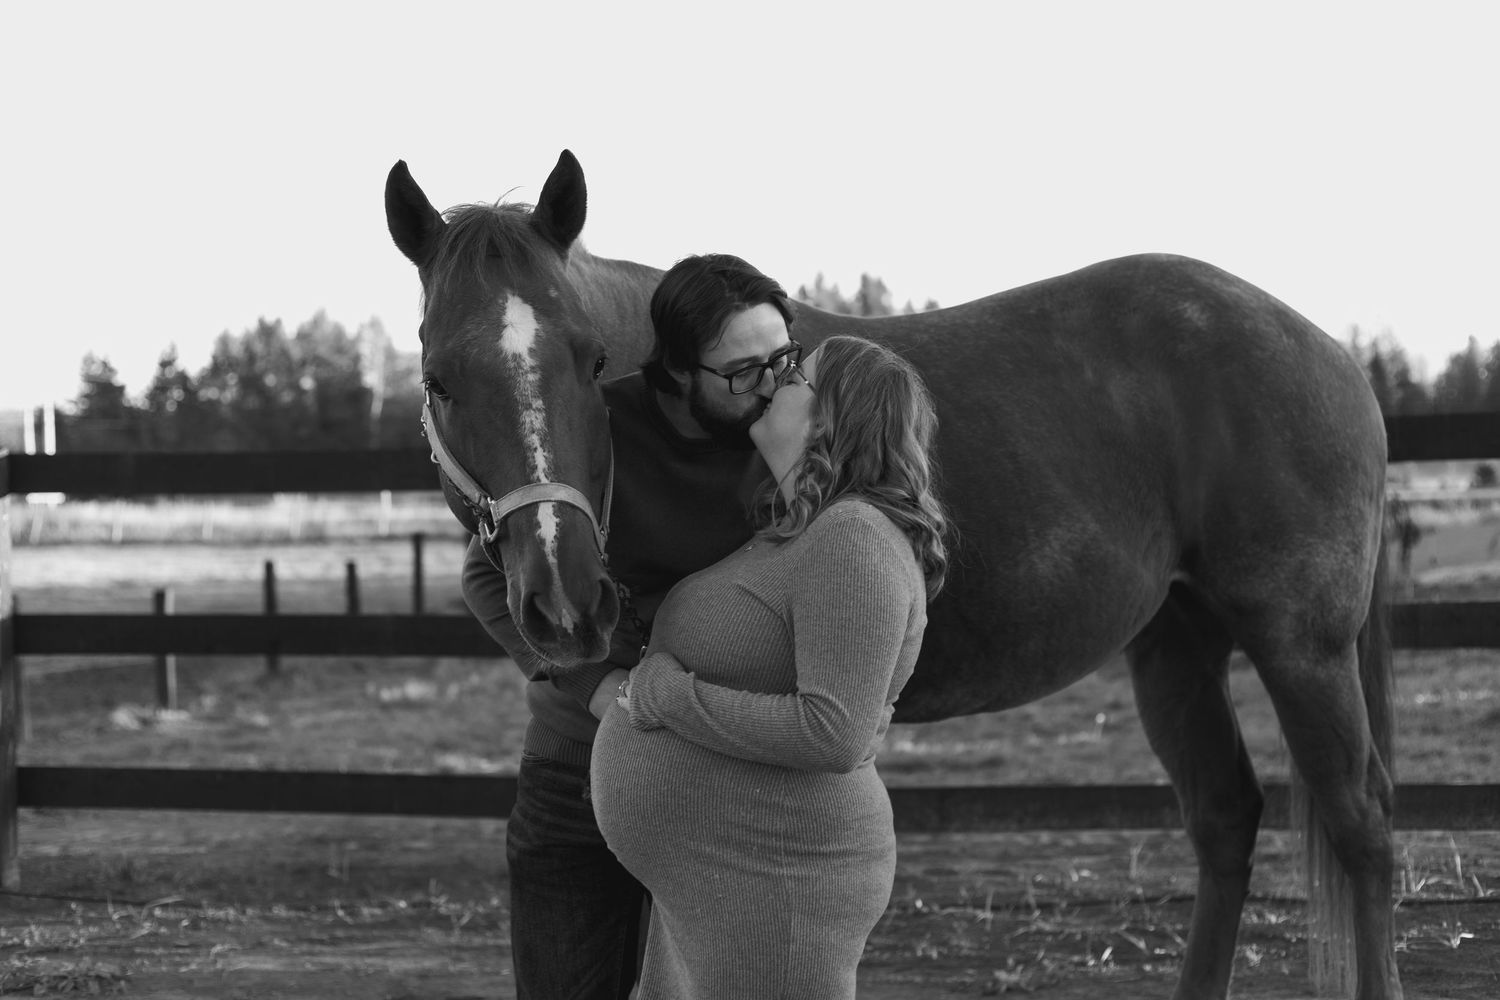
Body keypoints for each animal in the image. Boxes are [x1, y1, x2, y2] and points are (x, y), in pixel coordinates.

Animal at [385, 150, 1401, 1000]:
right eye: (438, 379)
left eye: (589, 359)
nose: (567, 604)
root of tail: (1327, 351)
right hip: (1176, 648)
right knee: (1227, 817)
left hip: (1304, 649)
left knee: (1363, 827)